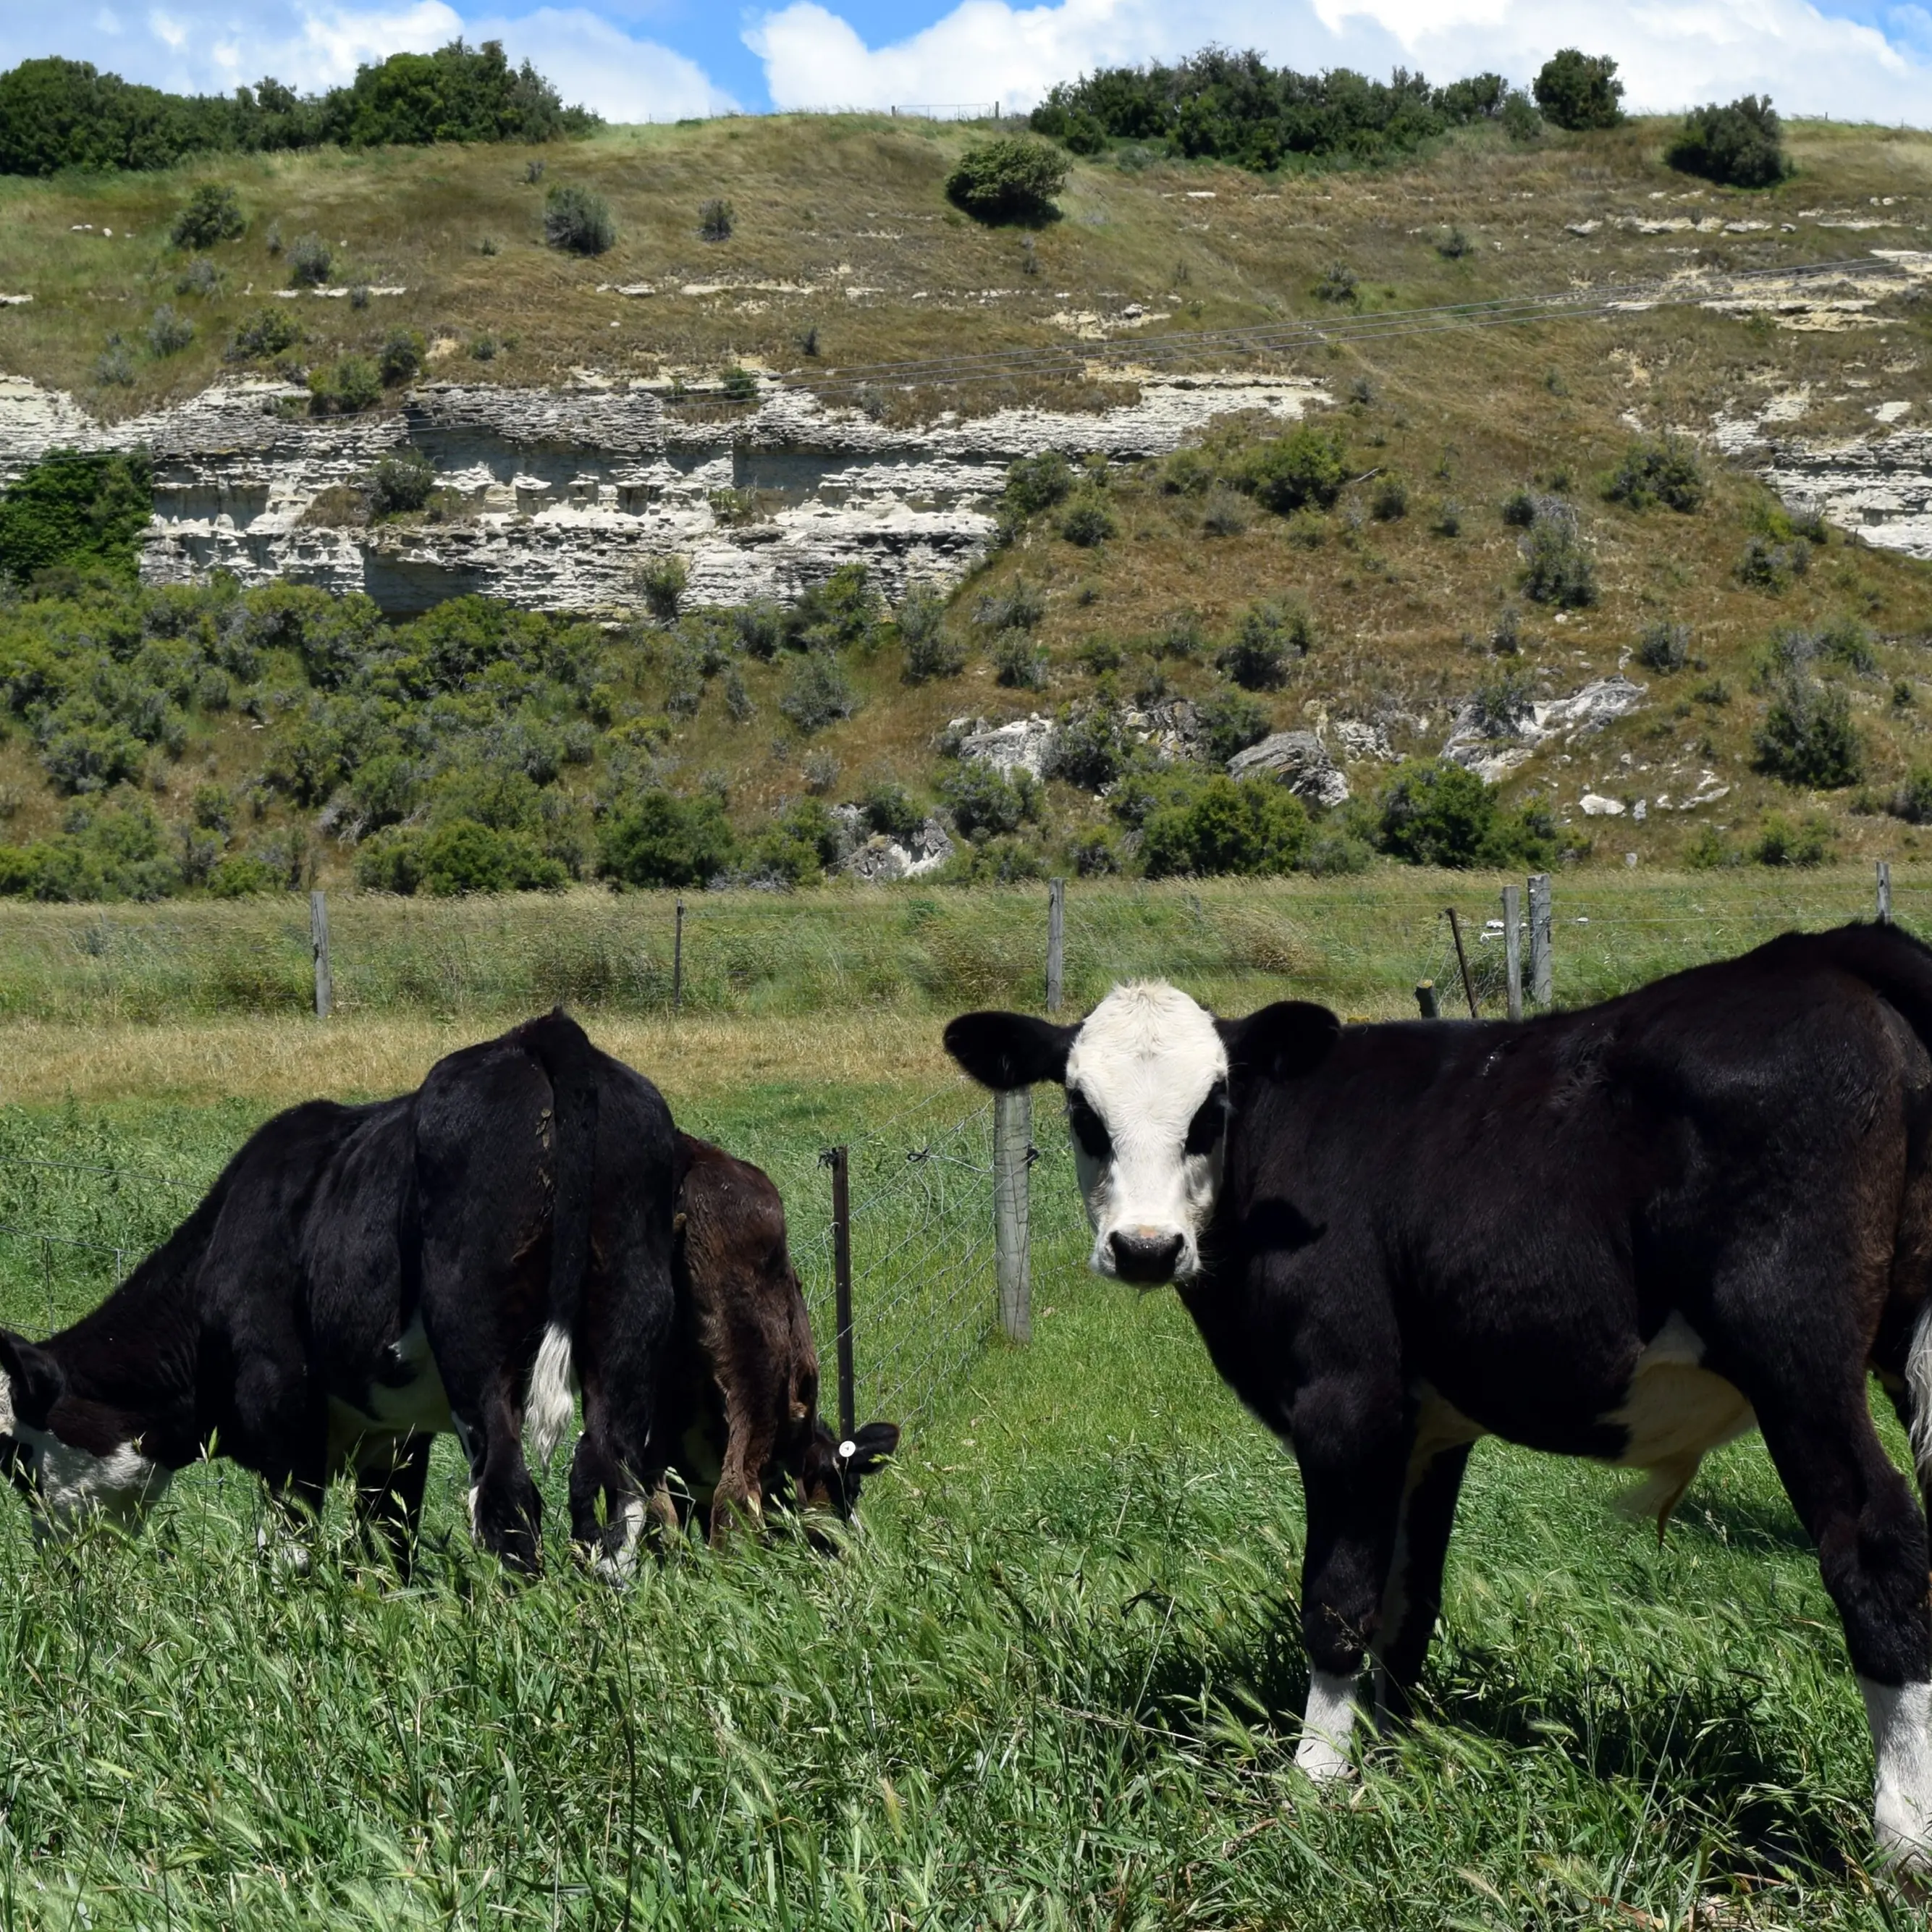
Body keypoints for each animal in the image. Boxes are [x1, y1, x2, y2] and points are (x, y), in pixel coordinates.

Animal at [945, 924, 1932, 1871]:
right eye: (1082, 1112)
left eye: (1210, 1110)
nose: (1145, 1246)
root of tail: (1824, 952)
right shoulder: (1426, 1429)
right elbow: (1405, 1602)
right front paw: (1387, 1761)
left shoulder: (1343, 1398)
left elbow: (1336, 1599)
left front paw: (1313, 1780)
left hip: (1793, 1353)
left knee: (1875, 1540)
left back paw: (1901, 1839)